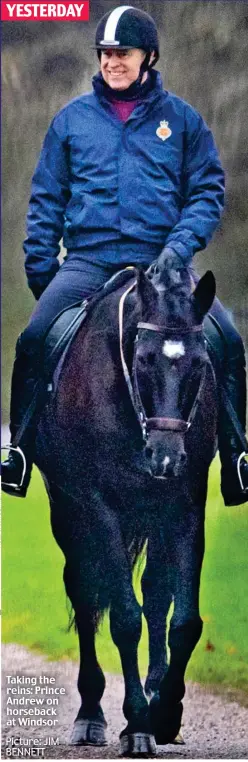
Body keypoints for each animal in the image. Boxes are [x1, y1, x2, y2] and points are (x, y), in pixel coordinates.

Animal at [34, 260, 217, 756]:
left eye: (200, 363)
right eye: (144, 359)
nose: (166, 459)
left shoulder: (186, 506)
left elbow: (183, 620)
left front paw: (165, 714)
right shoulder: (100, 508)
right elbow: (124, 619)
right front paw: (136, 723)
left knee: (156, 592)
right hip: (69, 515)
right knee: (85, 592)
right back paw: (91, 716)